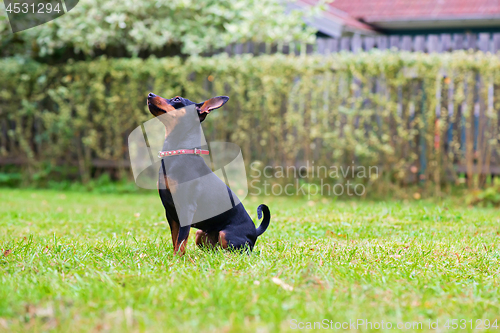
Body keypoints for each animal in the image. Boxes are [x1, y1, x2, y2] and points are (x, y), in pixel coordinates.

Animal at [146, 92, 270, 254]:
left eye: (177, 99)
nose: (150, 94)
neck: (178, 153)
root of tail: (255, 231)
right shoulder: (171, 213)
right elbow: (175, 241)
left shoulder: (186, 209)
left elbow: (180, 242)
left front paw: (177, 259)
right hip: (200, 234)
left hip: (226, 234)